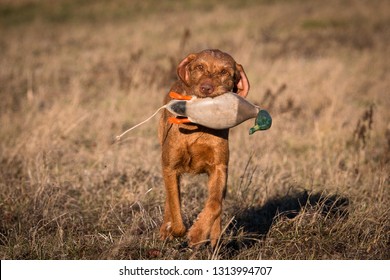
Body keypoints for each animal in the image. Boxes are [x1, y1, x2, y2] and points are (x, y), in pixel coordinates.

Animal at [159, 48, 250, 247]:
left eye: (224, 72)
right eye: (200, 67)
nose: (206, 88)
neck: (198, 124)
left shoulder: (219, 167)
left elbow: (215, 204)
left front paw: (198, 233)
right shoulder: (170, 167)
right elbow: (175, 206)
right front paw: (174, 229)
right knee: (170, 199)